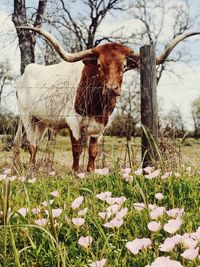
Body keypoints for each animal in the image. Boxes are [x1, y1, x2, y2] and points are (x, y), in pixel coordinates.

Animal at [13, 27, 200, 174]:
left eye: (124, 66)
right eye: (99, 65)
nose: (111, 88)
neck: (97, 102)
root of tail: (26, 72)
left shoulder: (101, 125)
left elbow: (93, 151)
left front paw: (90, 172)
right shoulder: (73, 122)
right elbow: (77, 149)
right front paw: (75, 172)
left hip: (41, 122)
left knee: (35, 142)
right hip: (27, 117)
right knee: (31, 144)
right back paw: (31, 170)